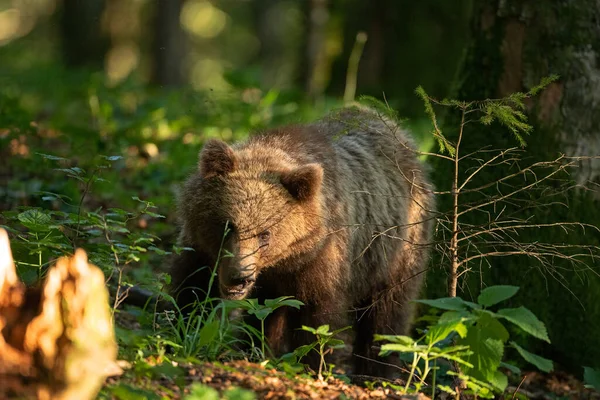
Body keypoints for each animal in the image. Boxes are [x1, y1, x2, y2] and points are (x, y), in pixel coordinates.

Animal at [169, 106, 436, 378]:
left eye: (265, 233)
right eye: (227, 225)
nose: (239, 277)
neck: (279, 263)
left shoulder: (320, 260)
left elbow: (317, 322)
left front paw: (311, 365)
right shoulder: (202, 250)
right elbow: (192, 291)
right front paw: (181, 332)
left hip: (394, 250)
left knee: (387, 316)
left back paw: (376, 372)